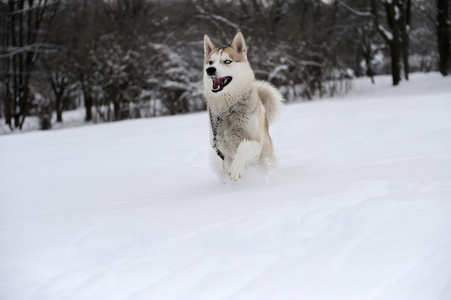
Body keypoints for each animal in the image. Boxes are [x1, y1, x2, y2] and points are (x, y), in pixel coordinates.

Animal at [204, 32, 284, 180]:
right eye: (210, 62)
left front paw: (236, 169)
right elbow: (230, 162)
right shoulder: (223, 152)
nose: (210, 70)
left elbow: (243, 146)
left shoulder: (256, 144)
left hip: (266, 154)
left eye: (227, 61)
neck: (228, 111)